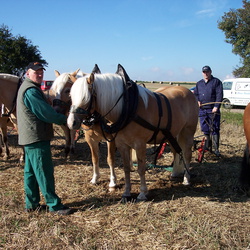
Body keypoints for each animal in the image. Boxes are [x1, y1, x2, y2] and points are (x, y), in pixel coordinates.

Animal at [67, 64, 199, 201]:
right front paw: (126, 193)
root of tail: (187, 91)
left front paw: (142, 193)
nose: (71, 123)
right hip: (171, 134)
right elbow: (125, 168)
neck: (127, 107)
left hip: (188, 132)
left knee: (187, 154)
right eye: (70, 96)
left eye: (85, 98)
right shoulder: (121, 144)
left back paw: (186, 179)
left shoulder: (139, 144)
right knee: (176, 151)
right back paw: (174, 174)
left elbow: (141, 169)